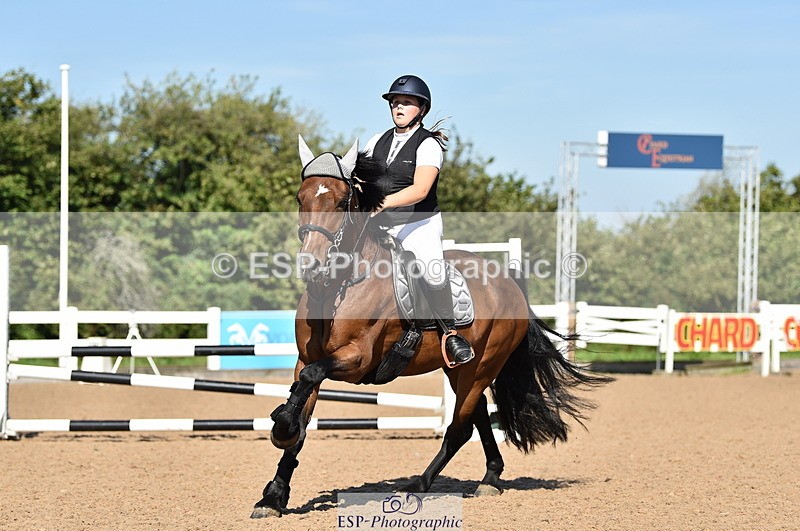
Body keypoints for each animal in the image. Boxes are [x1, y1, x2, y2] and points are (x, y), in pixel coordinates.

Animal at [250, 137, 612, 518]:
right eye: (300, 198)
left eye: (341, 202)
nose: (311, 265)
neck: (338, 286)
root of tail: (507, 280)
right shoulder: (306, 358)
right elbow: (303, 408)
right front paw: (274, 493)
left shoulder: (357, 359)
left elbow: (309, 382)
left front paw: (281, 427)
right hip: (461, 370)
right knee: (477, 417)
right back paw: (490, 478)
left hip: (483, 367)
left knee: (459, 428)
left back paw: (417, 486)